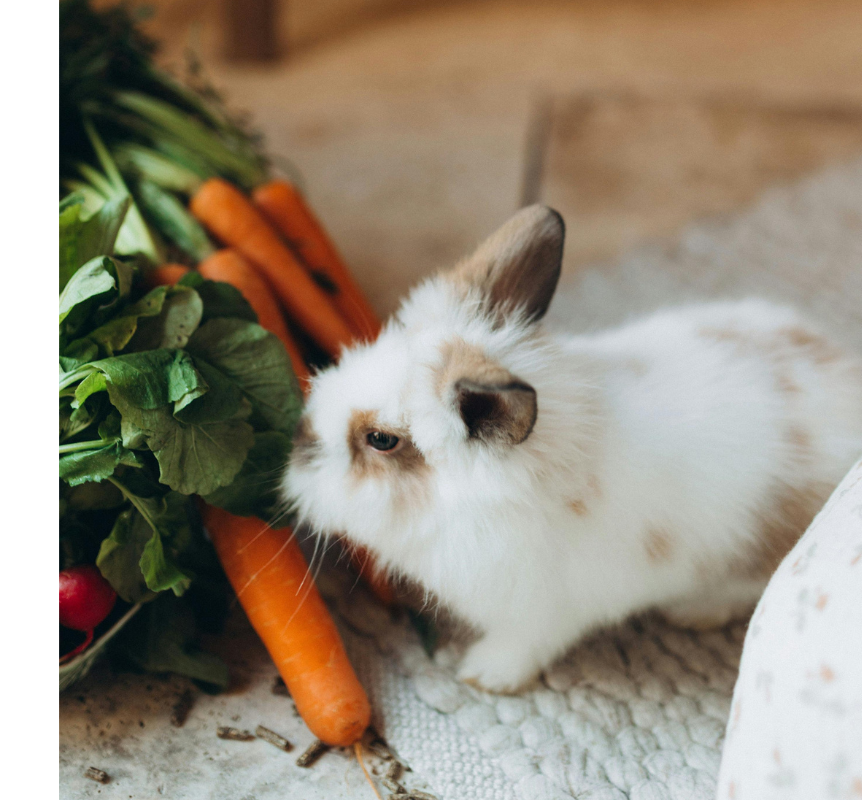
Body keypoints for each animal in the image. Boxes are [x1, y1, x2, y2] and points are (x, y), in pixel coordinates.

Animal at [283, 205, 862, 693]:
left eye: (381, 439)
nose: (300, 444)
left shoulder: (543, 610)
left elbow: (523, 644)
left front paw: (483, 676)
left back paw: (693, 612)